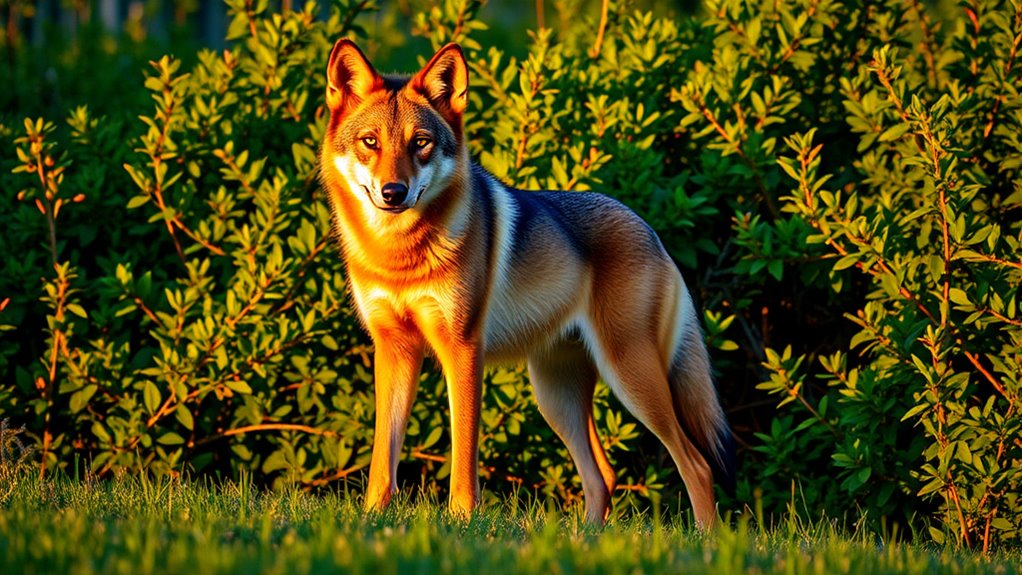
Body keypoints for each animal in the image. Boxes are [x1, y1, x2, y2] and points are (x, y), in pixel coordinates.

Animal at [319, 38, 736, 527]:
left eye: (420, 143)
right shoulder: (393, 350)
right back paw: (587, 536)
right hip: (556, 397)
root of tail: (650, 230)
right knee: (604, 475)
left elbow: (464, 457)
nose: (393, 192)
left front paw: (462, 522)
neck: (399, 257)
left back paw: (706, 537)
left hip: (630, 380)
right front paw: (372, 517)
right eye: (371, 142)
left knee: (697, 464)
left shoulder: (464, 350)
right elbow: (383, 457)